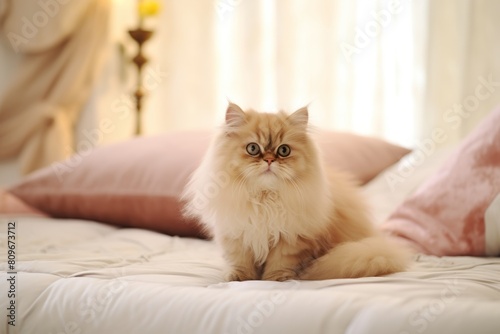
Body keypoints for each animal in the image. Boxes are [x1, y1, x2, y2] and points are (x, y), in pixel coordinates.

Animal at [184, 103, 410, 280]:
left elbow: (280, 262)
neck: (265, 199)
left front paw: (275, 279)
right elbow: (240, 260)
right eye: (253, 149)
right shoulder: (237, 233)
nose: (269, 160)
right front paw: (238, 277)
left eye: (283, 150)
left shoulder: (291, 238)